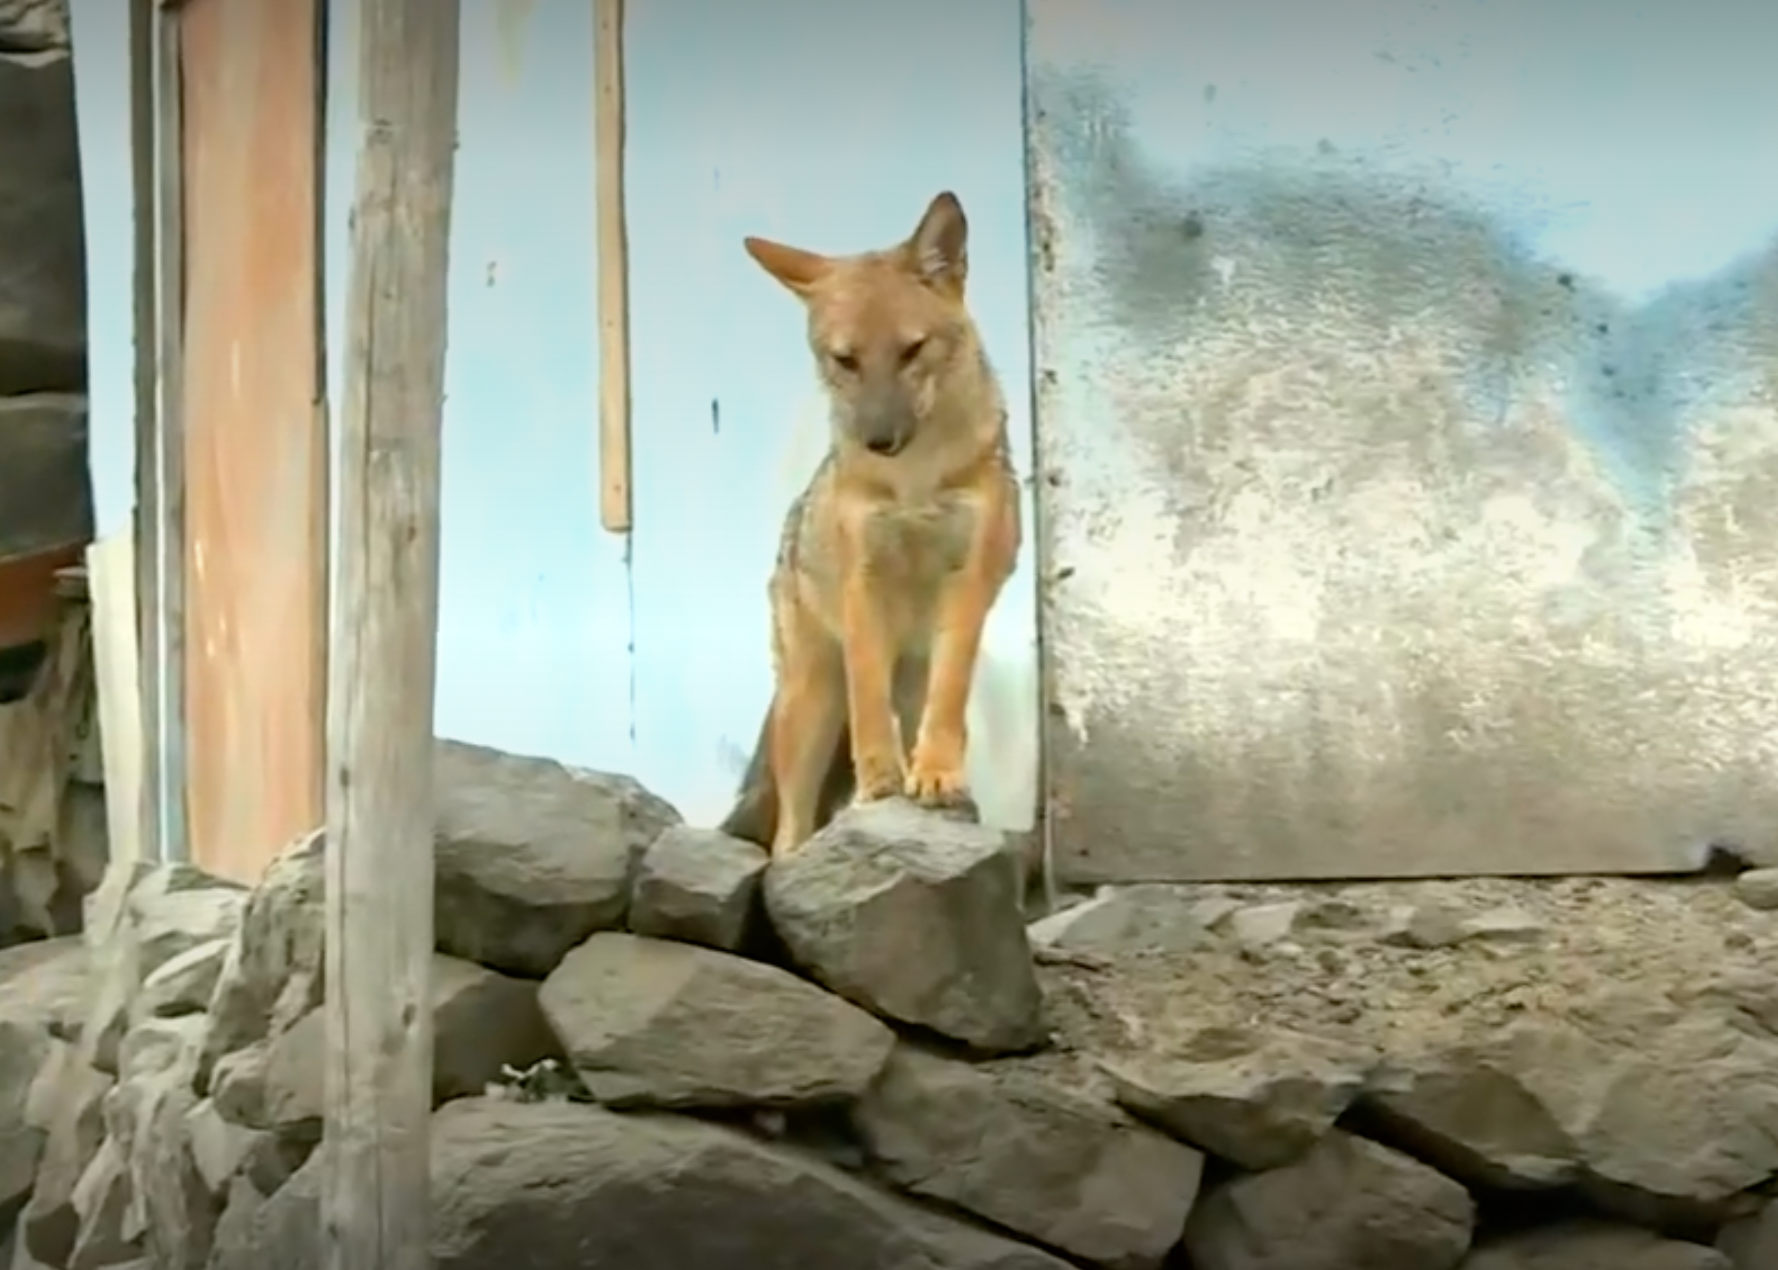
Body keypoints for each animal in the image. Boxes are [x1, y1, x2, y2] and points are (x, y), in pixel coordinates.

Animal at [718, 190, 1024, 858]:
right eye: (846, 361)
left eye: (911, 351)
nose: (879, 440)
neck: (915, 479)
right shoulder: (863, 586)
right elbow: (868, 701)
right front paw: (880, 783)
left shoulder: (966, 585)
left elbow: (948, 702)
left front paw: (936, 775)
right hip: (809, 708)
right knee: (788, 831)